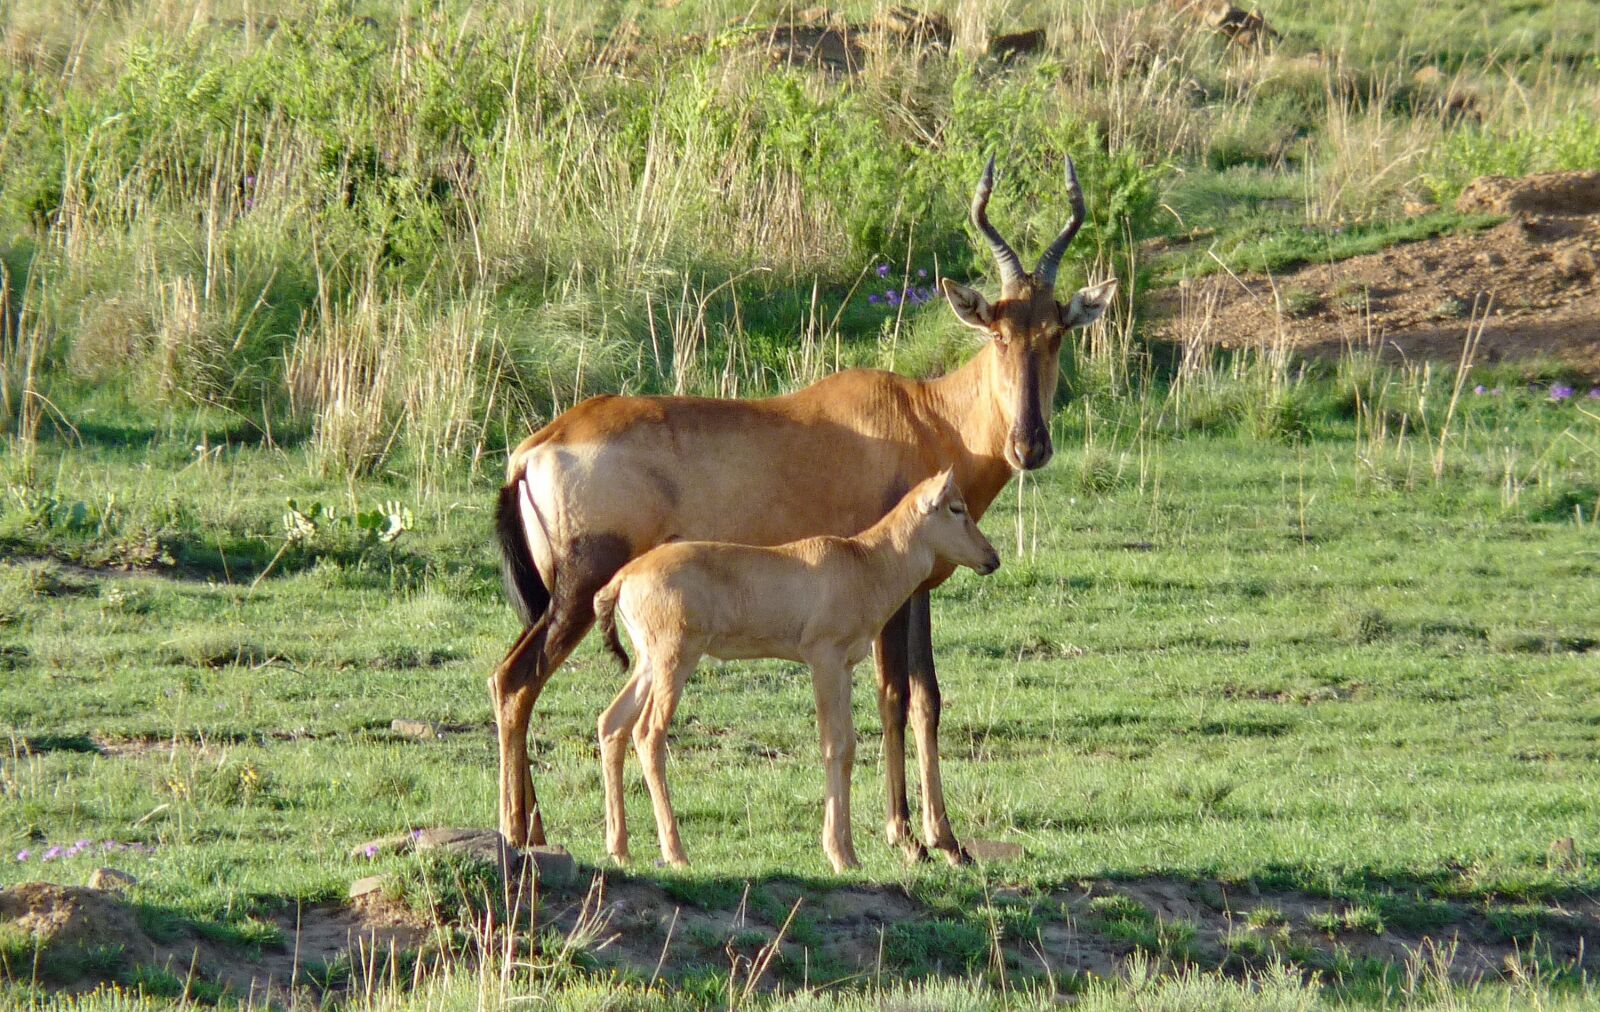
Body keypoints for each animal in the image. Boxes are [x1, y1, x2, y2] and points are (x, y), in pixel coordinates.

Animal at [595, 470, 992, 871]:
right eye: (955, 508)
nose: (992, 559)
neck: (862, 561)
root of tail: (622, 578)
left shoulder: (844, 667)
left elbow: (848, 745)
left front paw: (852, 855)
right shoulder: (823, 661)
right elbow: (834, 744)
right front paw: (839, 856)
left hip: (648, 663)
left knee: (612, 723)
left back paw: (620, 849)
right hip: (674, 661)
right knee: (649, 733)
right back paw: (676, 854)